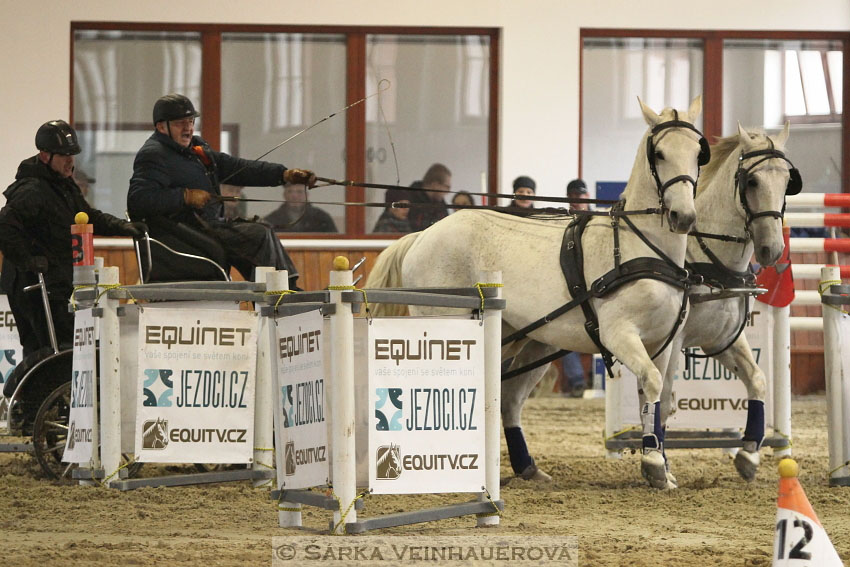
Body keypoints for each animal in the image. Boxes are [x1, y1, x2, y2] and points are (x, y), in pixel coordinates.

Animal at [368, 96, 704, 488]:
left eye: (698, 152)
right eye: (660, 153)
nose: (683, 216)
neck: (642, 248)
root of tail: (423, 234)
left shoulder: (663, 341)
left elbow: (658, 399)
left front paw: (660, 465)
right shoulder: (619, 334)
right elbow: (650, 383)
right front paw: (653, 464)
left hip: (520, 338)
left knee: (506, 397)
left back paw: (524, 466)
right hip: (448, 327)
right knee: (429, 386)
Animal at [660, 122, 800, 486]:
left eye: (786, 181)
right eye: (751, 182)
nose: (772, 250)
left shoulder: (722, 340)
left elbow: (757, 380)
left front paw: (749, 454)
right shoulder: (673, 341)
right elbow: (664, 398)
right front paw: (660, 465)